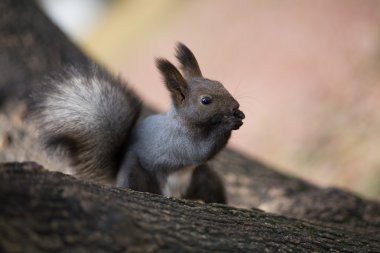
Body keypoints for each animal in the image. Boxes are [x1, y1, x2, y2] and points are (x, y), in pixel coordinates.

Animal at [29, 42, 243, 204]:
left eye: (220, 83)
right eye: (206, 100)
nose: (235, 106)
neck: (182, 122)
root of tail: (175, 193)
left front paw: (238, 115)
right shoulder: (178, 143)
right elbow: (202, 151)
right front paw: (230, 122)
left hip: (204, 178)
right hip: (136, 173)